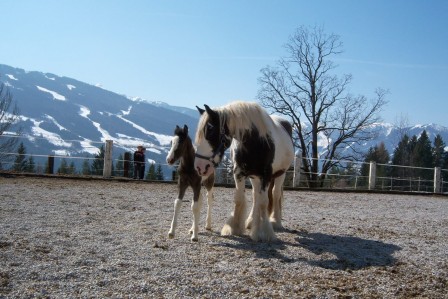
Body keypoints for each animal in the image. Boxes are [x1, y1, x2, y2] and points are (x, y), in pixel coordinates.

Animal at [195, 102, 294, 243]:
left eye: (210, 129)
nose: (200, 166)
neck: (256, 142)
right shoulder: (239, 174)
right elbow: (239, 199)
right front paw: (234, 227)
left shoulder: (266, 176)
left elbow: (264, 202)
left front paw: (263, 232)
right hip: (254, 177)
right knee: (256, 195)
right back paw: (251, 221)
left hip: (281, 174)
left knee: (275, 195)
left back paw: (275, 222)